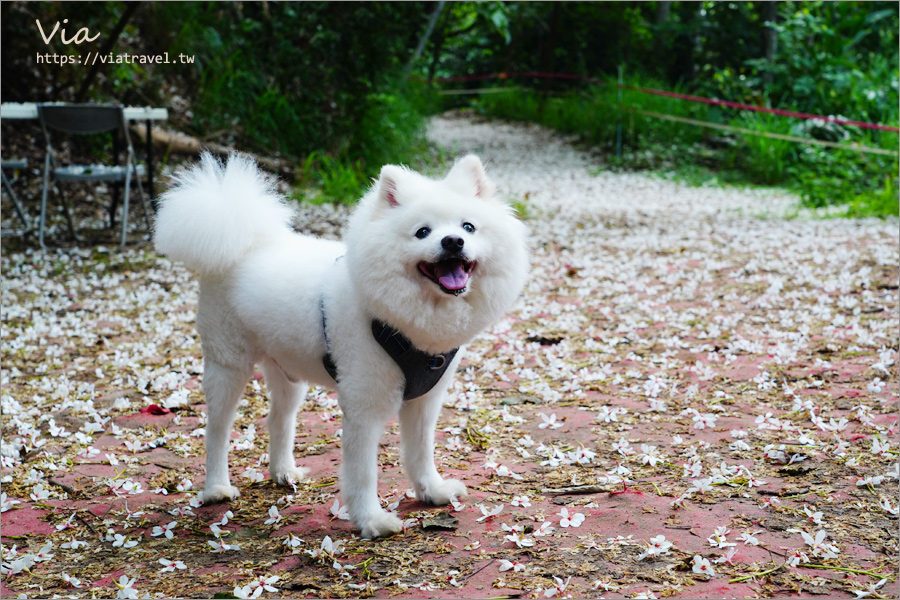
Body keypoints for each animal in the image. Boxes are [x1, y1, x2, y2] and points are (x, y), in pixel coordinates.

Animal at [155, 152, 532, 536]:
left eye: (468, 227)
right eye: (423, 232)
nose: (453, 241)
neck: (406, 325)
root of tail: (244, 242)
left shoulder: (424, 402)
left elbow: (420, 453)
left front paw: (432, 490)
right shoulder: (364, 405)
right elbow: (362, 472)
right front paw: (372, 520)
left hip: (287, 372)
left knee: (279, 419)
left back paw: (283, 472)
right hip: (228, 366)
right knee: (217, 429)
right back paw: (217, 488)